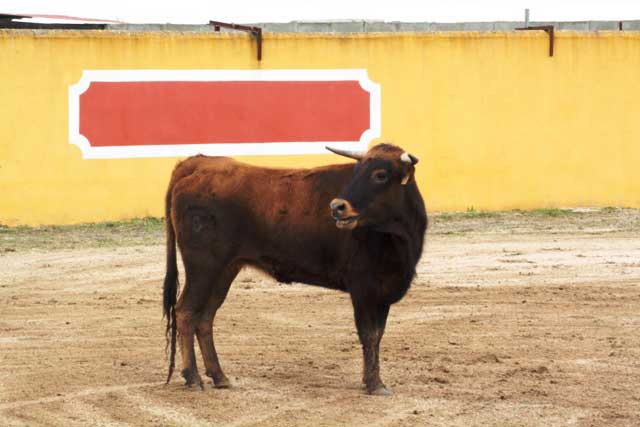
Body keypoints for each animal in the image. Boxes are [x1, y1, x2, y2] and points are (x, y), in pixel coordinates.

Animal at [162, 143, 428, 394]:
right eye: (356, 171)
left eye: (381, 175)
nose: (337, 206)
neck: (396, 234)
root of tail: (198, 163)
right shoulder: (363, 288)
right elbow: (369, 334)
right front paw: (374, 384)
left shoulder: (384, 290)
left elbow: (378, 334)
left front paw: (373, 381)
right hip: (203, 267)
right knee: (186, 312)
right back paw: (193, 378)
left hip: (225, 270)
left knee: (205, 317)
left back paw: (219, 376)